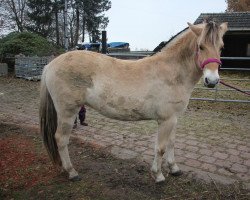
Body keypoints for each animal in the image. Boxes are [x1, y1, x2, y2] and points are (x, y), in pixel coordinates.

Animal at [39, 21, 229, 182]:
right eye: (201, 46)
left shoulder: (174, 119)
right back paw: (72, 172)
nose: (212, 81)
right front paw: (158, 175)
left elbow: (171, 144)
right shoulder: (166, 120)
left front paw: (174, 169)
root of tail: (51, 65)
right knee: (61, 139)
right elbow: (160, 147)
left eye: (221, 47)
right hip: (67, 112)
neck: (172, 73)